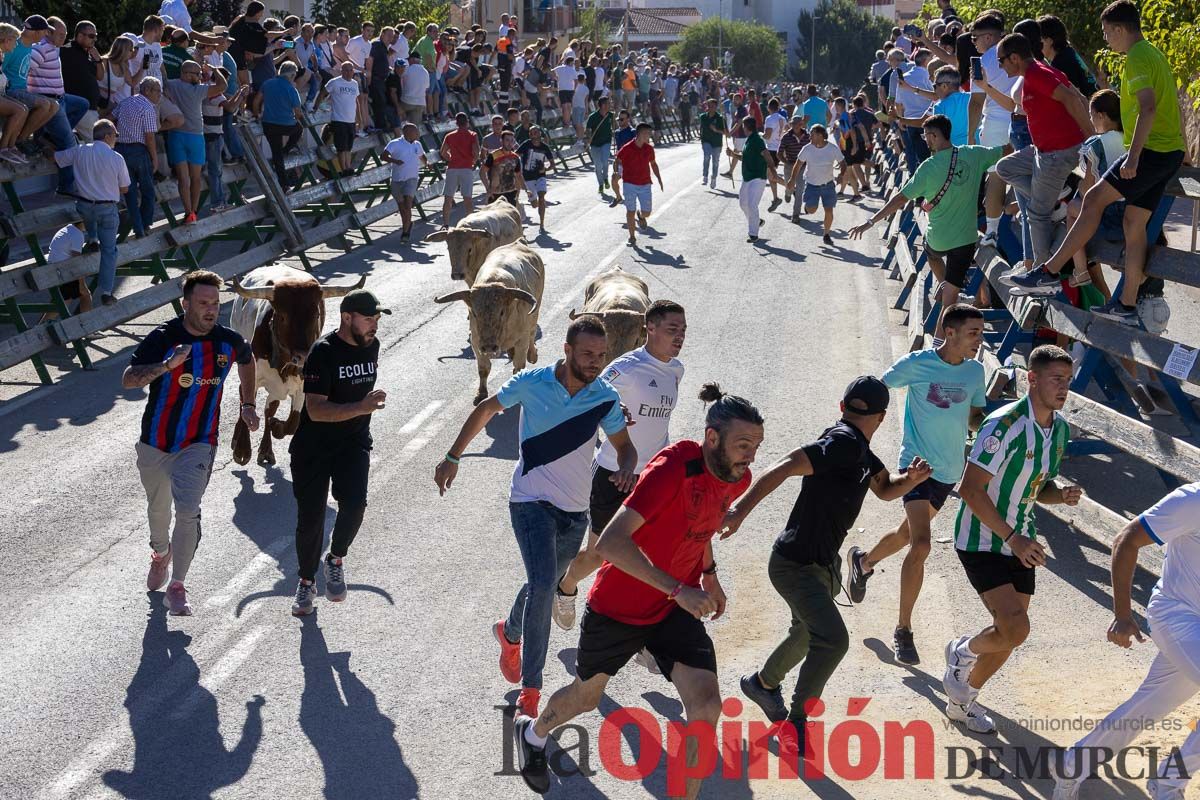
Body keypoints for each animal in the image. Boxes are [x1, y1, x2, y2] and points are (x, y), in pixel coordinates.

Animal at [229, 266, 364, 465]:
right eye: (283, 316)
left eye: (316, 315)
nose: (303, 356)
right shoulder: (253, 376)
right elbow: (247, 403)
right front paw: (242, 449)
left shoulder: (303, 385)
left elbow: (292, 423)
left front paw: (277, 426)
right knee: (245, 398)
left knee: (270, 408)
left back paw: (266, 449)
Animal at [432, 241, 544, 402]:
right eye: (474, 313)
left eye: (502, 312)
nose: (490, 347)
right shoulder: (476, 342)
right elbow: (483, 369)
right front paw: (481, 394)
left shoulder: (521, 340)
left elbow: (519, 366)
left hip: (536, 310)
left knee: (532, 334)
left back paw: (532, 355)